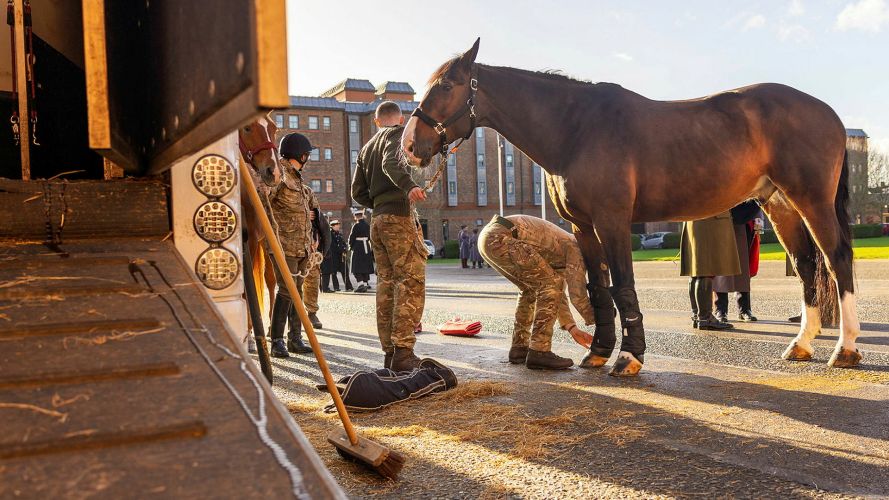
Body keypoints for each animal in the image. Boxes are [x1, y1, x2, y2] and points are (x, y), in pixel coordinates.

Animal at [402, 39, 860, 376]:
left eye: (447, 86)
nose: (409, 144)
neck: (576, 128)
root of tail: (830, 113)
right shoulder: (584, 227)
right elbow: (598, 287)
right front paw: (598, 351)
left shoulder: (613, 221)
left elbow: (623, 285)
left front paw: (628, 356)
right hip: (780, 204)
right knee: (806, 264)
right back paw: (802, 344)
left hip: (812, 200)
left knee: (836, 259)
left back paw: (845, 348)